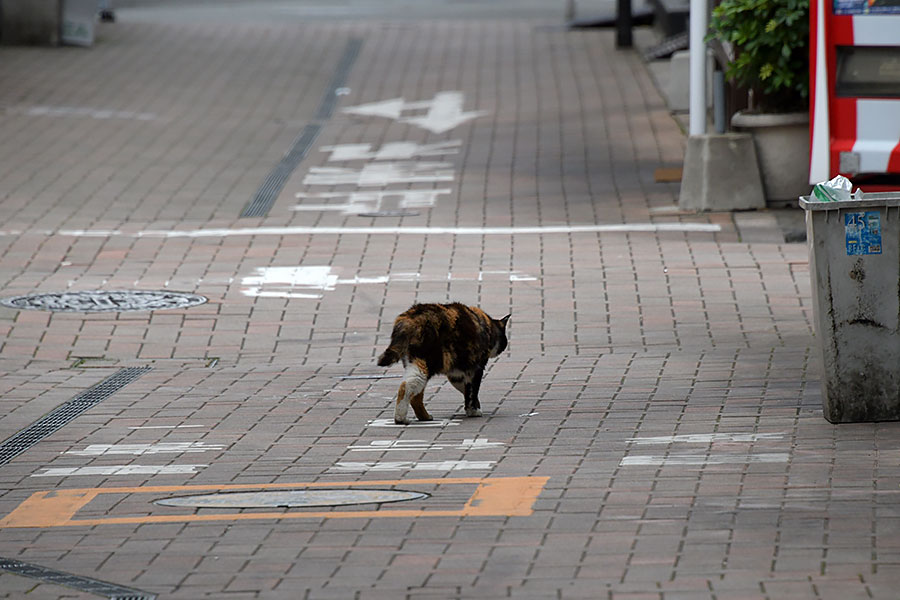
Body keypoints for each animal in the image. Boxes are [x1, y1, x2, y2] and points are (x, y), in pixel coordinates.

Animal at [376, 302, 510, 424]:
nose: (503, 348)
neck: (487, 327)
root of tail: (410, 317)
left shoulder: (456, 374)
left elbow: (466, 389)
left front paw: (472, 406)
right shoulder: (476, 369)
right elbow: (472, 390)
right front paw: (473, 411)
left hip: (416, 363)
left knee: (415, 395)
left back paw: (424, 417)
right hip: (427, 364)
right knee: (406, 386)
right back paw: (400, 418)